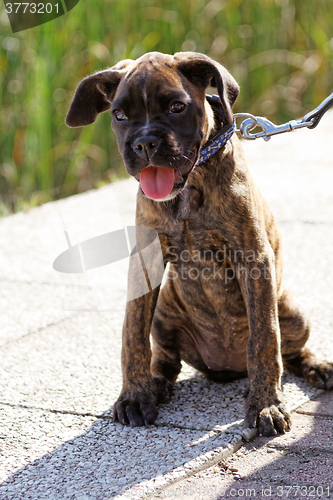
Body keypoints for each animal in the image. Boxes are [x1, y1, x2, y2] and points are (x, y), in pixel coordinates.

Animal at [65, 50, 332, 434]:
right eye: (119, 115)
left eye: (177, 106)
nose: (144, 143)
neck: (190, 188)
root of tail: (226, 369)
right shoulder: (145, 262)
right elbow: (132, 333)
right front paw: (134, 395)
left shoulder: (254, 259)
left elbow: (265, 338)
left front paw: (266, 403)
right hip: (165, 314)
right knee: (167, 360)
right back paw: (155, 384)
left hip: (293, 312)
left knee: (291, 351)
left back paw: (316, 367)